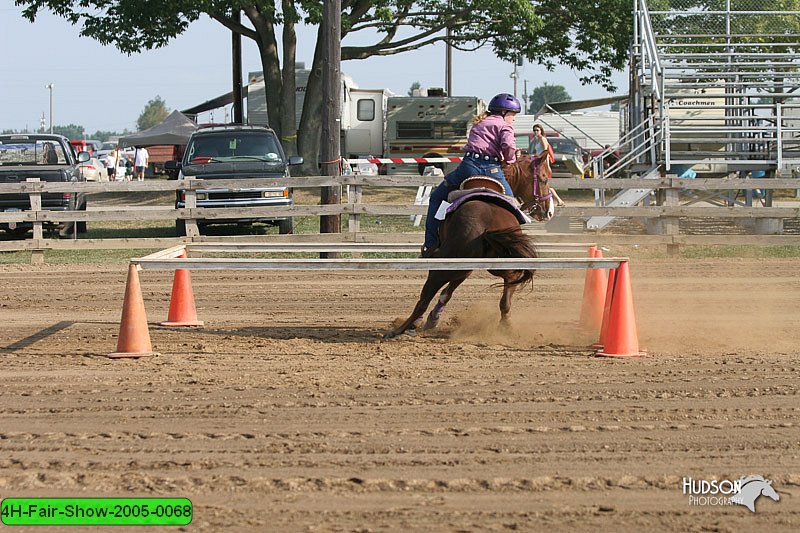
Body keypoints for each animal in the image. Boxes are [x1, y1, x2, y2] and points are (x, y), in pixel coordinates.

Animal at [390, 154, 556, 336]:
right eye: (544, 179)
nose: (548, 211)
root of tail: (487, 226)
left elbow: (445, 293)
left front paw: (430, 320)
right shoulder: (466, 269)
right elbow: (447, 293)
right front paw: (432, 319)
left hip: (447, 265)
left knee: (424, 299)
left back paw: (400, 329)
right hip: (490, 264)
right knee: (508, 289)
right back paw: (505, 326)